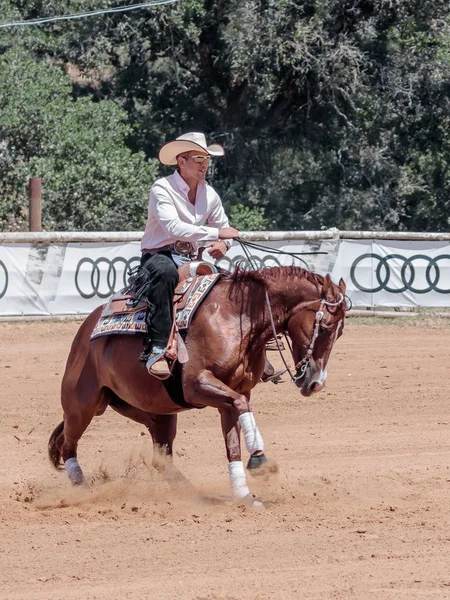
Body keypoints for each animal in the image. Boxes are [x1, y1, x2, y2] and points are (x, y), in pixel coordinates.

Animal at [47, 264, 348, 508]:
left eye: (341, 331)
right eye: (325, 325)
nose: (315, 383)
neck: (236, 317)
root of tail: (85, 331)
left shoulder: (233, 394)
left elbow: (234, 437)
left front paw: (244, 495)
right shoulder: (198, 385)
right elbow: (241, 407)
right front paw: (259, 460)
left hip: (157, 414)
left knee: (161, 460)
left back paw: (192, 494)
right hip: (82, 406)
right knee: (67, 445)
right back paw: (81, 491)